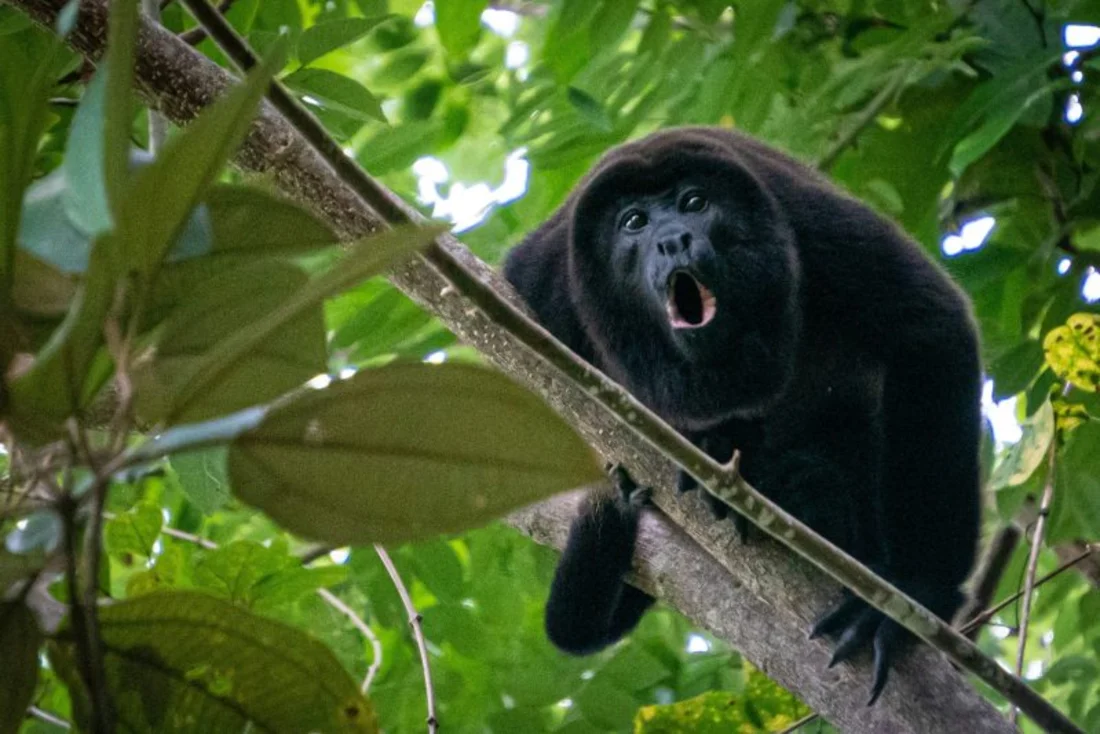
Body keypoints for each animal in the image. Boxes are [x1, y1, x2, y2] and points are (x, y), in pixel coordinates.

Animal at [502, 126, 982, 702]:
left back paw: (813, 490)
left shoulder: (810, 222)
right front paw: (709, 446)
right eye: (634, 222)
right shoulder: (545, 280)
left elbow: (930, 330)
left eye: (694, 203)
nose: (673, 240)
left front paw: (916, 590)